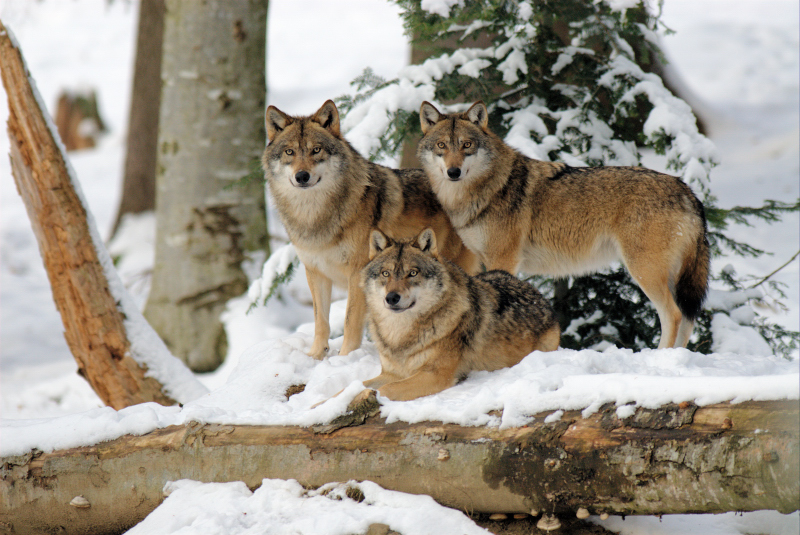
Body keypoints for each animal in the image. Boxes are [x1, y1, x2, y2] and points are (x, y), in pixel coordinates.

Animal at [262, 100, 476, 360]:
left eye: (316, 150)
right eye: (289, 152)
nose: (302, 176)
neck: (316, 217)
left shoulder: (358, 273)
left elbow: (350, 321)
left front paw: (345, 358)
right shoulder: (315, 272)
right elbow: (320, 321)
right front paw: (315, 356)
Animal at [364, 228, 564, 400]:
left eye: (413, 273)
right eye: (385, 273)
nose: (392, 297)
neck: (399, 334)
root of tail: (538, 293)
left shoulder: (436, 375)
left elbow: (385, 389)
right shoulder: (391, 373)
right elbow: (362, 383)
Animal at [416, 102, 708, 350]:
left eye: (466, 145)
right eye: (441, 145)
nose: (453, 172)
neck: (486, 189)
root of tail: (686, 189)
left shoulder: (504, 259)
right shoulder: (481, 260)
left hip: (644, 270)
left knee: (673, 315)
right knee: (688, 317)